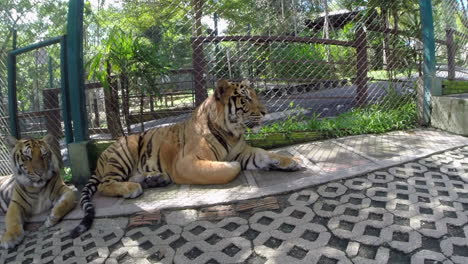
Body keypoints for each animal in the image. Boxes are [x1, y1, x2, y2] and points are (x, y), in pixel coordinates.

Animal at [70, 79, 304, 238]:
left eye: (256, 95)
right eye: (246, 99)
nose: (265, 112)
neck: (232, 132)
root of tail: (101, 159)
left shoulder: (245, 152)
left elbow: (266, 154)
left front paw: (291, 162)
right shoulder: (186, 163)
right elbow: (229, 168)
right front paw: (230, 165)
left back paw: (155, 179)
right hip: (123, 152)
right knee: (106, 184)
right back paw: (131, 188)